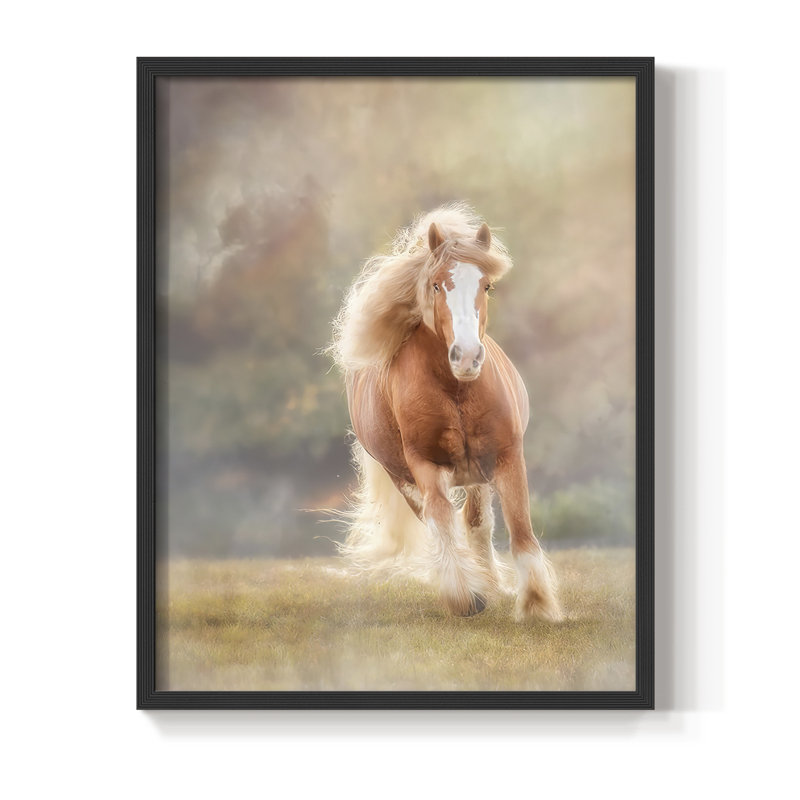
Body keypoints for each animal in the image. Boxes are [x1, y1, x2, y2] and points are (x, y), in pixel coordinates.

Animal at [328, 204, 561, 621]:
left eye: (486, 286)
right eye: (436, 285)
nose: (466, 357)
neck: (456, 389)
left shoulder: (506, 456)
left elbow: (519, 528)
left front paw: (536, 605)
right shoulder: (424, 464)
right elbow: (441, 520)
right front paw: (467, 597)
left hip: (477, 474)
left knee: (477, 524)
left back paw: (490, 580)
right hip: (404, 477)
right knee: (439, 522)